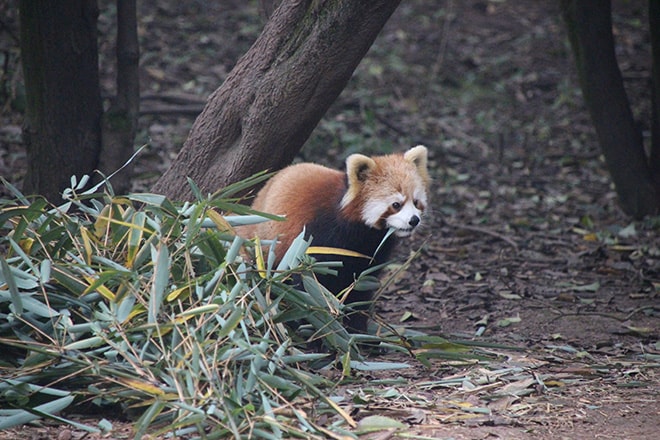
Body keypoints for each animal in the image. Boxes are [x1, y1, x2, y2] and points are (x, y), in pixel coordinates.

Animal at [240, 146, 430, 332]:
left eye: (416, 202)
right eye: (396, 205)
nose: (414, 220)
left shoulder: (372, 252)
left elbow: (360, 287)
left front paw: (357, 329)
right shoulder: (318, 236)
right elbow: (308, 284)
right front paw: (313, 325)